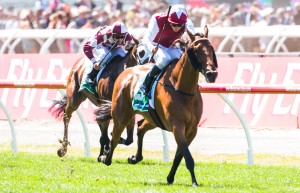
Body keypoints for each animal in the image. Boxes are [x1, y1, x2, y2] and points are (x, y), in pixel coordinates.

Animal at [98, 26, 218, 187]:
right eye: (196, 50)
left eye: (211, 48)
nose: (212, 74)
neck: (182, 89)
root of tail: (126, 71)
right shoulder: (177, 126)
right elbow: (187, 156)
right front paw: (194, 181)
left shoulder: (192, 129)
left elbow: (180, 155)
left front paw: (170, 177)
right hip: (122, 115)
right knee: (115, 136)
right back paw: (105, 156)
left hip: (154, 118)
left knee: (140, 128)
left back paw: (135, 157)